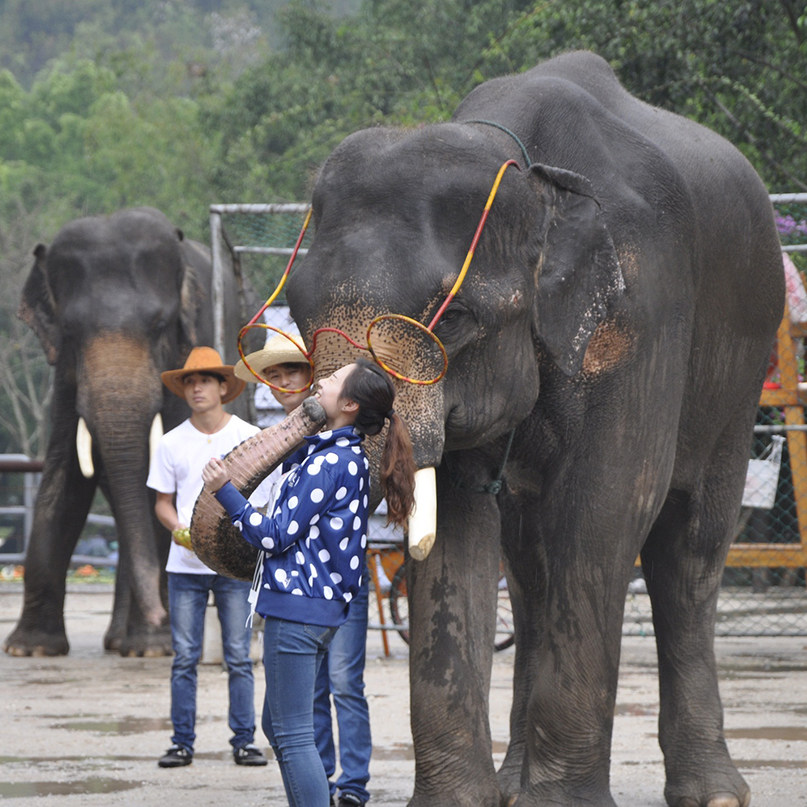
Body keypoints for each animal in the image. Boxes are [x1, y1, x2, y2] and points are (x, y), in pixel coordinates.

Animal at [4, 206, 253, 657]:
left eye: (160, 324)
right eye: (71, 330)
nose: (158, 618)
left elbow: (153, 492)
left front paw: (150, 648)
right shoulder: (65, 377)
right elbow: (63, 481)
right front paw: (29, 649)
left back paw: (131, 641)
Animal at [279, 52, 784, 807]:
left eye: (455, 318)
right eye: (299, 313)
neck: (531, 173)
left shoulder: (642, 313)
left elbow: (607, 505)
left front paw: (561, 803)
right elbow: (456, 524)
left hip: (744, 366)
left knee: (689, 547)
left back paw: (713, 793)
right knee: (526, 558)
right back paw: (516, 782)